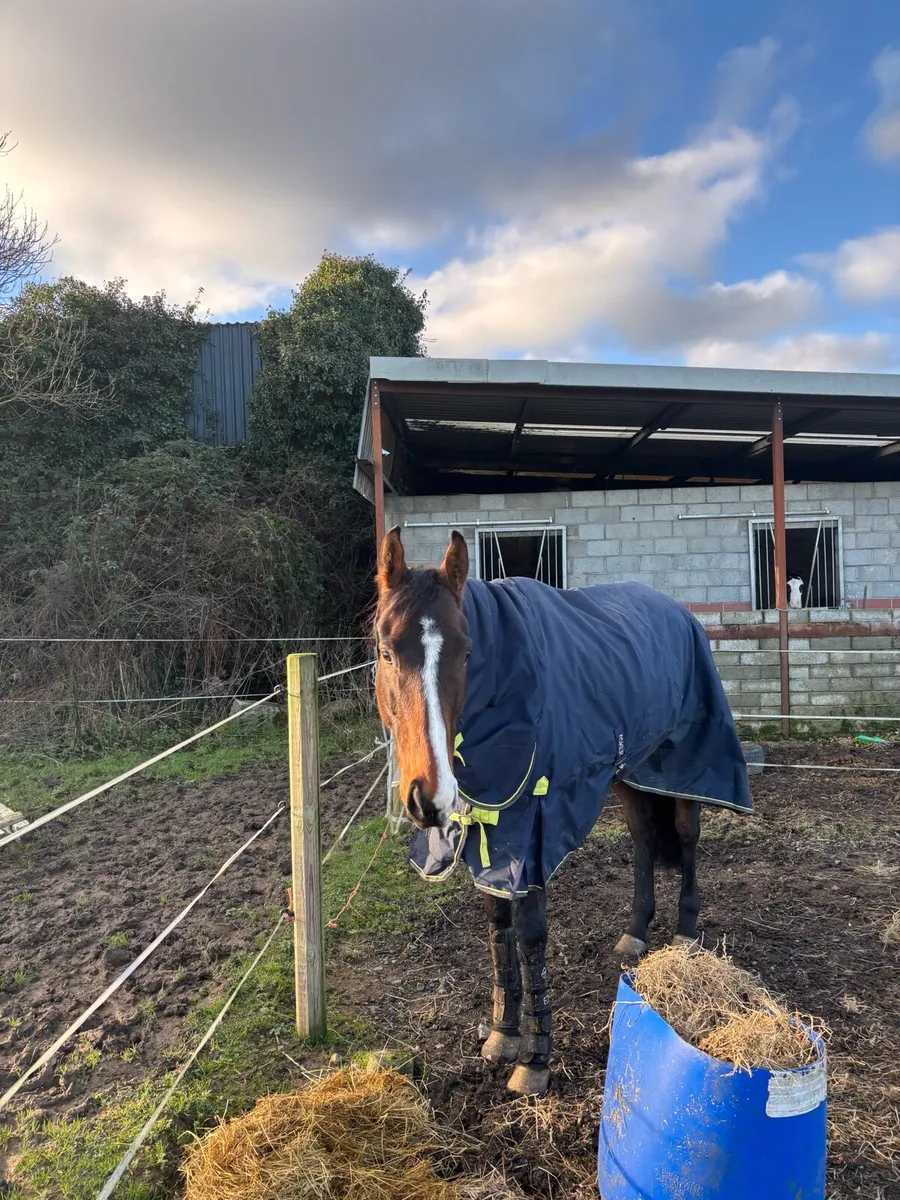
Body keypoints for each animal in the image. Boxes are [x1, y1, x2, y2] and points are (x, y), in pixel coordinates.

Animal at [373, 526, 752, 1096]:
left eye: (466, 651)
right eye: (386, 649)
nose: (427, 797)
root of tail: (678, 612)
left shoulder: (533, 828)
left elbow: (531, 934)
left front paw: (535, 1061)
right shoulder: (492, 828)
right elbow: (497, 925)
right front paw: (502, 1036)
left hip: (685, 761)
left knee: (686, 836)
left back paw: (686, 933)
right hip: (629, 773)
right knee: (643, 839)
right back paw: (636, 932)